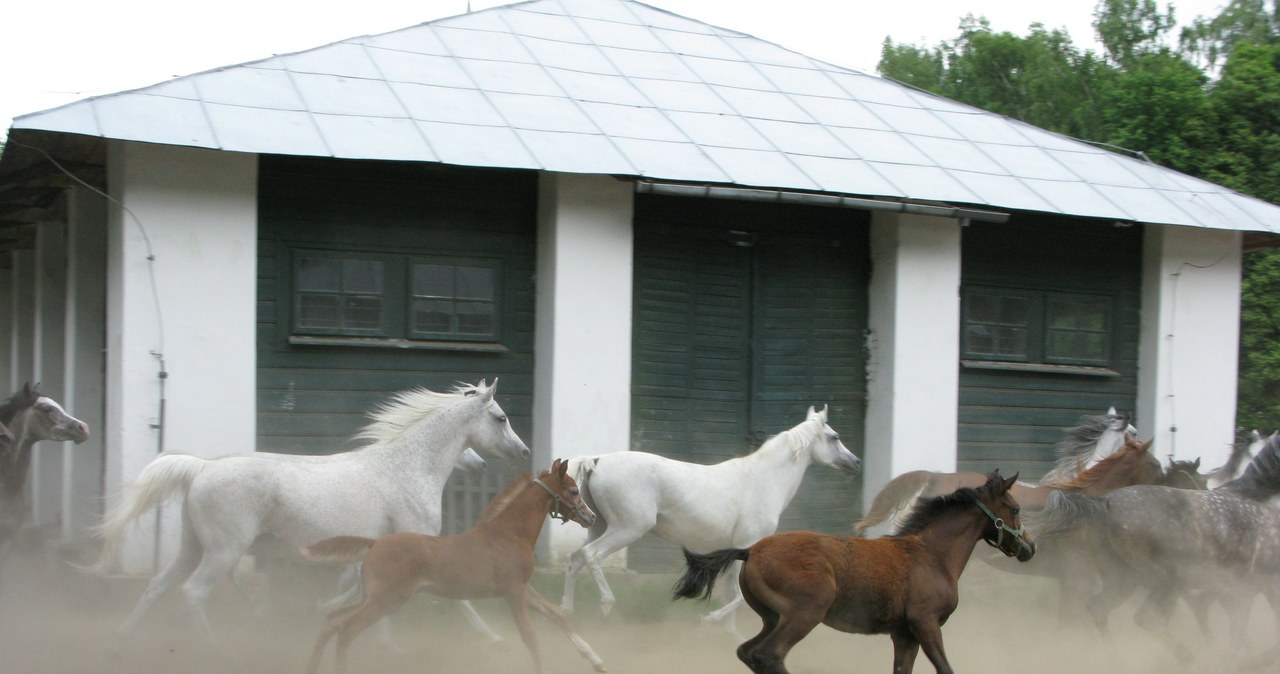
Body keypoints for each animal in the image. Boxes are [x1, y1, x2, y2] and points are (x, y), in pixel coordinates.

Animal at [90, 378, 527, 644]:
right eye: (501, 417)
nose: (522, 452)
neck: (407, 466)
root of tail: (202, 468)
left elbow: (368, 593)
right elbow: (453, 595)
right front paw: (492, 636)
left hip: (193, 547)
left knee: (157, 587)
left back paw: (124, 638)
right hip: (223, 551)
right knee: (193, 592)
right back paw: (214, 644)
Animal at [302, 457, 606, 674]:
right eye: (573, 490)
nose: (591, 517)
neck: (509, 533)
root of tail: (374, 543)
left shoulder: (523, 589)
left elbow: (558, 615)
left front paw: (597, 661)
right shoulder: (513, 592)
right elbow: (530, 636)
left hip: (371, 596)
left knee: (331, 621)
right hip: (387, 600)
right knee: (346, 630)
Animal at [560, 406, 860, 634]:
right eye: (834, 437)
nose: (855, 463)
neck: (763, 479)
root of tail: (597, 461)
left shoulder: (736, 550)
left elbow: (733, 593)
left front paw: (729, 636)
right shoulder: (748, 545)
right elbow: (739, 596)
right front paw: (707, 620)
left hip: (600, 526)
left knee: (575, 559)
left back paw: (567, 616)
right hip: (628, 528)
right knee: (591, 555)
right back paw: (604, 608)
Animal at [675, 473, 1034, 674]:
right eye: (1016, 509)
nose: (1030, 548)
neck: (932, 555)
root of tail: (751, 550)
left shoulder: (904, 634)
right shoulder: (926, 623)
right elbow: (945, 668)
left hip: (772, 618)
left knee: (749, 652)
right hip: (806, 613)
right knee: (768, 655)